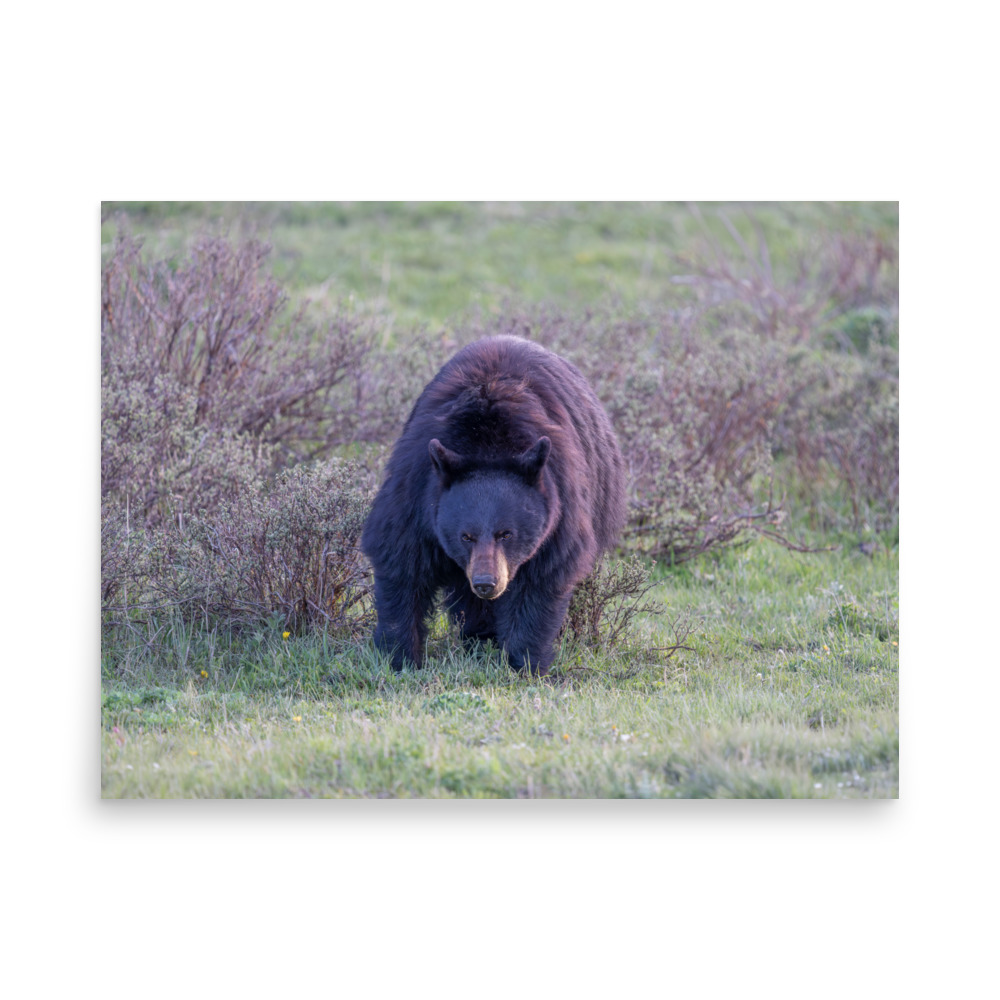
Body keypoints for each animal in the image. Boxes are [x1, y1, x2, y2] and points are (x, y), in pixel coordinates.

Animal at [360, 335, 627, 675]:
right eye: (465, 536)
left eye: (506, 534)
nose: (487, 583)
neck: (486, 443)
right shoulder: (417, 491)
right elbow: (401, 562)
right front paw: (400, 657)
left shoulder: (560, 503)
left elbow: (541, 579)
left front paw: (526, 663)